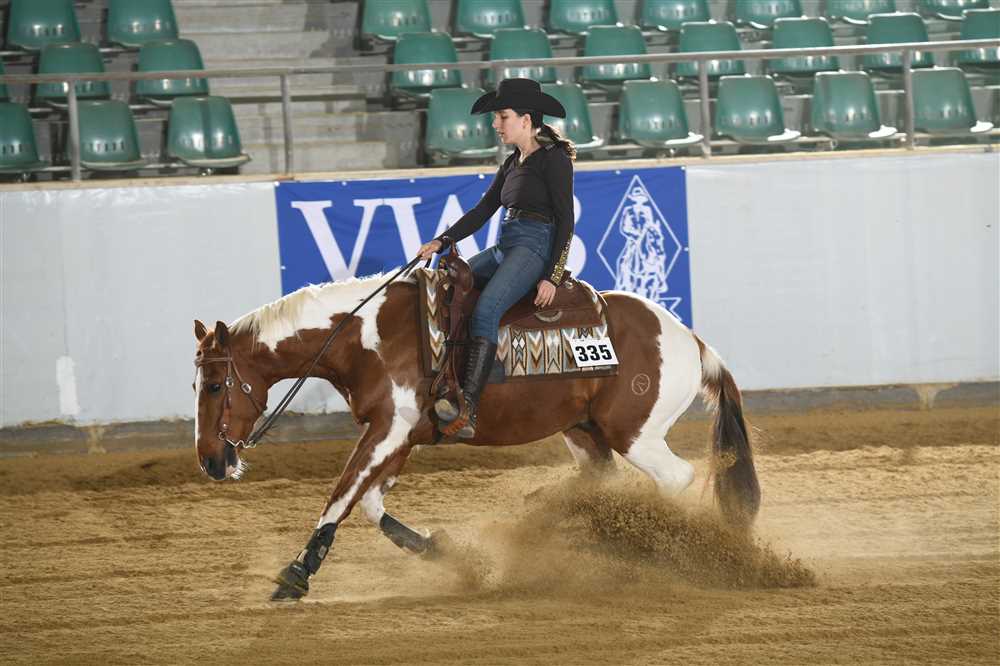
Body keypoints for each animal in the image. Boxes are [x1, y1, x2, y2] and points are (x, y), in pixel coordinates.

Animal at [192, 272, 761, 600]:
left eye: (217, 383)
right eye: (196, 382)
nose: (212, 460)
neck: (368, 337)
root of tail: (692, 340)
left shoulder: (388, 430)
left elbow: (342, 495)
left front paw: (297, 572)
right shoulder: (401, 436)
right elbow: (372, 503)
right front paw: (447, 553)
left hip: (636, 435)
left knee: (676, 478)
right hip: (584, 431)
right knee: (601, 483)